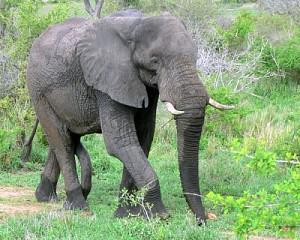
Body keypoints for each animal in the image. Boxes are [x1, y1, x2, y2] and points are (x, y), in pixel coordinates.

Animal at [25, 0, 233, 225]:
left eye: (195, 58)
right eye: (155, 62)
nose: (202, 221)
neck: (136, 25)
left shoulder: (145, 85)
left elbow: (143, 136)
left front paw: (126, 213)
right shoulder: (108, 78)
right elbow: (120, 141)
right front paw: (159, 214)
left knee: (65, 138)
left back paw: (46, 197)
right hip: (38, 90)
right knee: (61, 140)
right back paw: (78, 205)